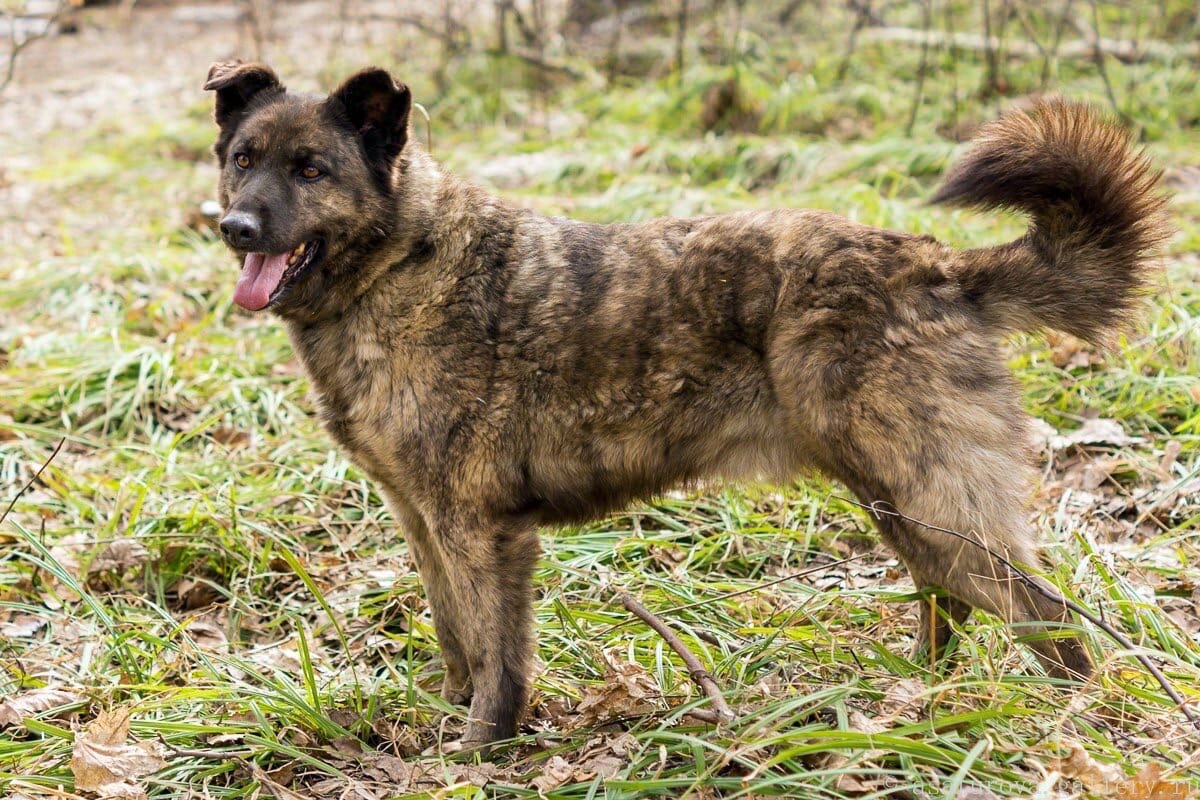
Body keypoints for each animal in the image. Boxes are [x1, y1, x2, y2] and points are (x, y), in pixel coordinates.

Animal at [206, 62, 1171, 753]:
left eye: (312, 169)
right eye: (242, 158)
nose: (236, 228)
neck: (402, 265)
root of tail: (938, 265)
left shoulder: (482, 531)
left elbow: (498, 662)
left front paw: (481, 752)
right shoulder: (424, 522)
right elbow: (456, 642)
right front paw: (450, 720)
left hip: (933, 497)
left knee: (1048, 617)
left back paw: (1061, 724)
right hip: (903, 501)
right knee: (951, 604)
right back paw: (924, 703)